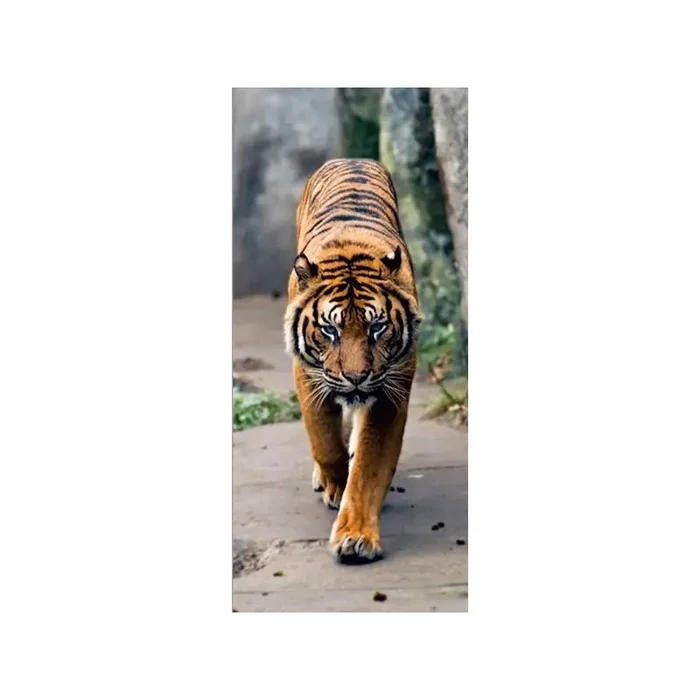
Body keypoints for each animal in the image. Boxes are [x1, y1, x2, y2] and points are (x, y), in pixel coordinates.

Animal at [284, 158, 422, 564]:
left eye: (377, 327)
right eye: (330, 330)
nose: (357, 377)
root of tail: (351, 158)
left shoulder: (390, 391)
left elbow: (368, 467)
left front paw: (356, 536)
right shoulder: (308, 376)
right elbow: (324, 441)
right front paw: (334, 484)